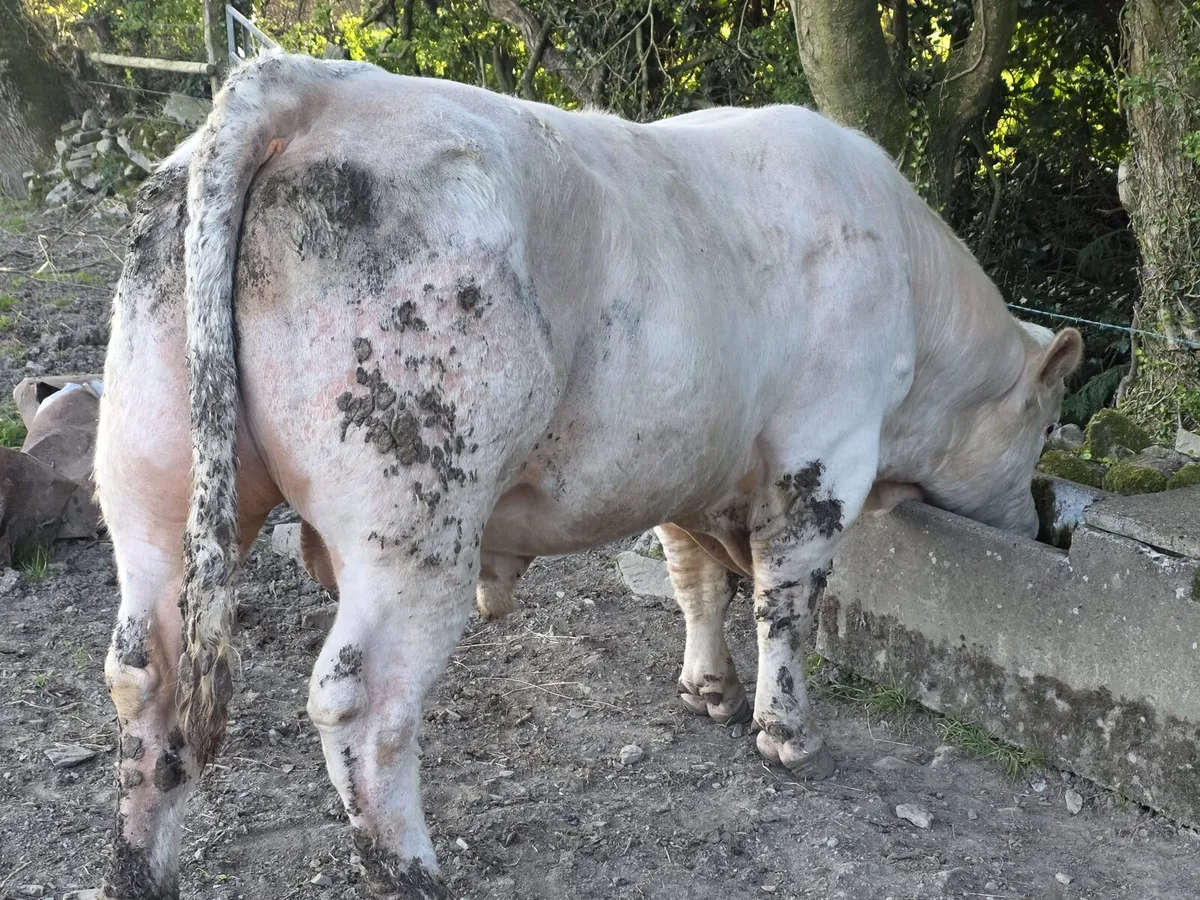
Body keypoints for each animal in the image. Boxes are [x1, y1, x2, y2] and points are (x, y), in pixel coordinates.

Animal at [93, 50, 1081, 899]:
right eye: (1045, 426)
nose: (1037, 527)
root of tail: (302, 83)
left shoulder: (684, 460)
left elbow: (694, 579)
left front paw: (709, 689)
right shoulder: (823, 451)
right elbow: (786, 600)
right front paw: (787, 733)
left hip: (153, 485)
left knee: (146, 675)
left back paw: (141, 870)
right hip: (413, 519)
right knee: (360, 699)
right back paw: (412, 871)